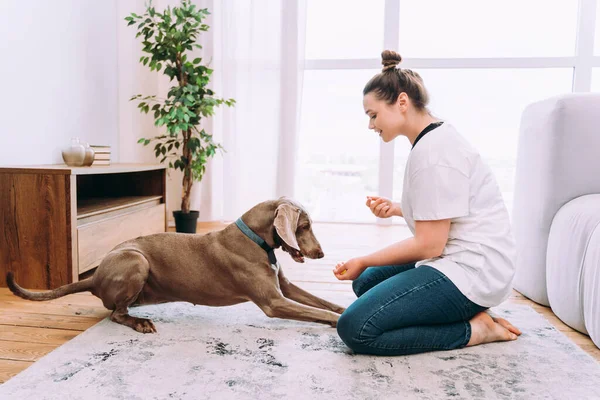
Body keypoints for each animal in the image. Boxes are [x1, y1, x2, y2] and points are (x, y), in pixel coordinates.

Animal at [5, 196, 346, 332]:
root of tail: (95, 276)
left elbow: (323, 303)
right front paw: (338, 321)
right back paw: (140, 322)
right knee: (115, 314)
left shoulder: (284, 288)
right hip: (136, 260)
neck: (256, 239)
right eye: (304, 226)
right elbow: (320, 312)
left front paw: (345, 306)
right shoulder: (274, 302)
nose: (322, 254)